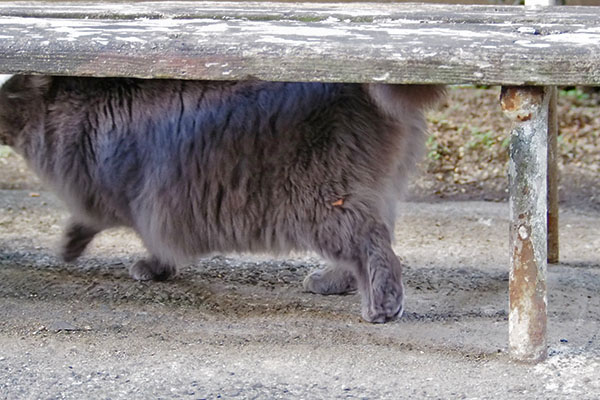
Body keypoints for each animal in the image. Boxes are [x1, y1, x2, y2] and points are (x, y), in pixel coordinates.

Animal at [0, 75, 440, 324]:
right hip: (365, 188)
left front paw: (73, 248)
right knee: (374, 238)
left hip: (321, 198)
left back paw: (381, 307)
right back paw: (334, 282)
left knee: (373, 244)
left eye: (5, 96)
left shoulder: (123, 196)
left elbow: (99, 221)